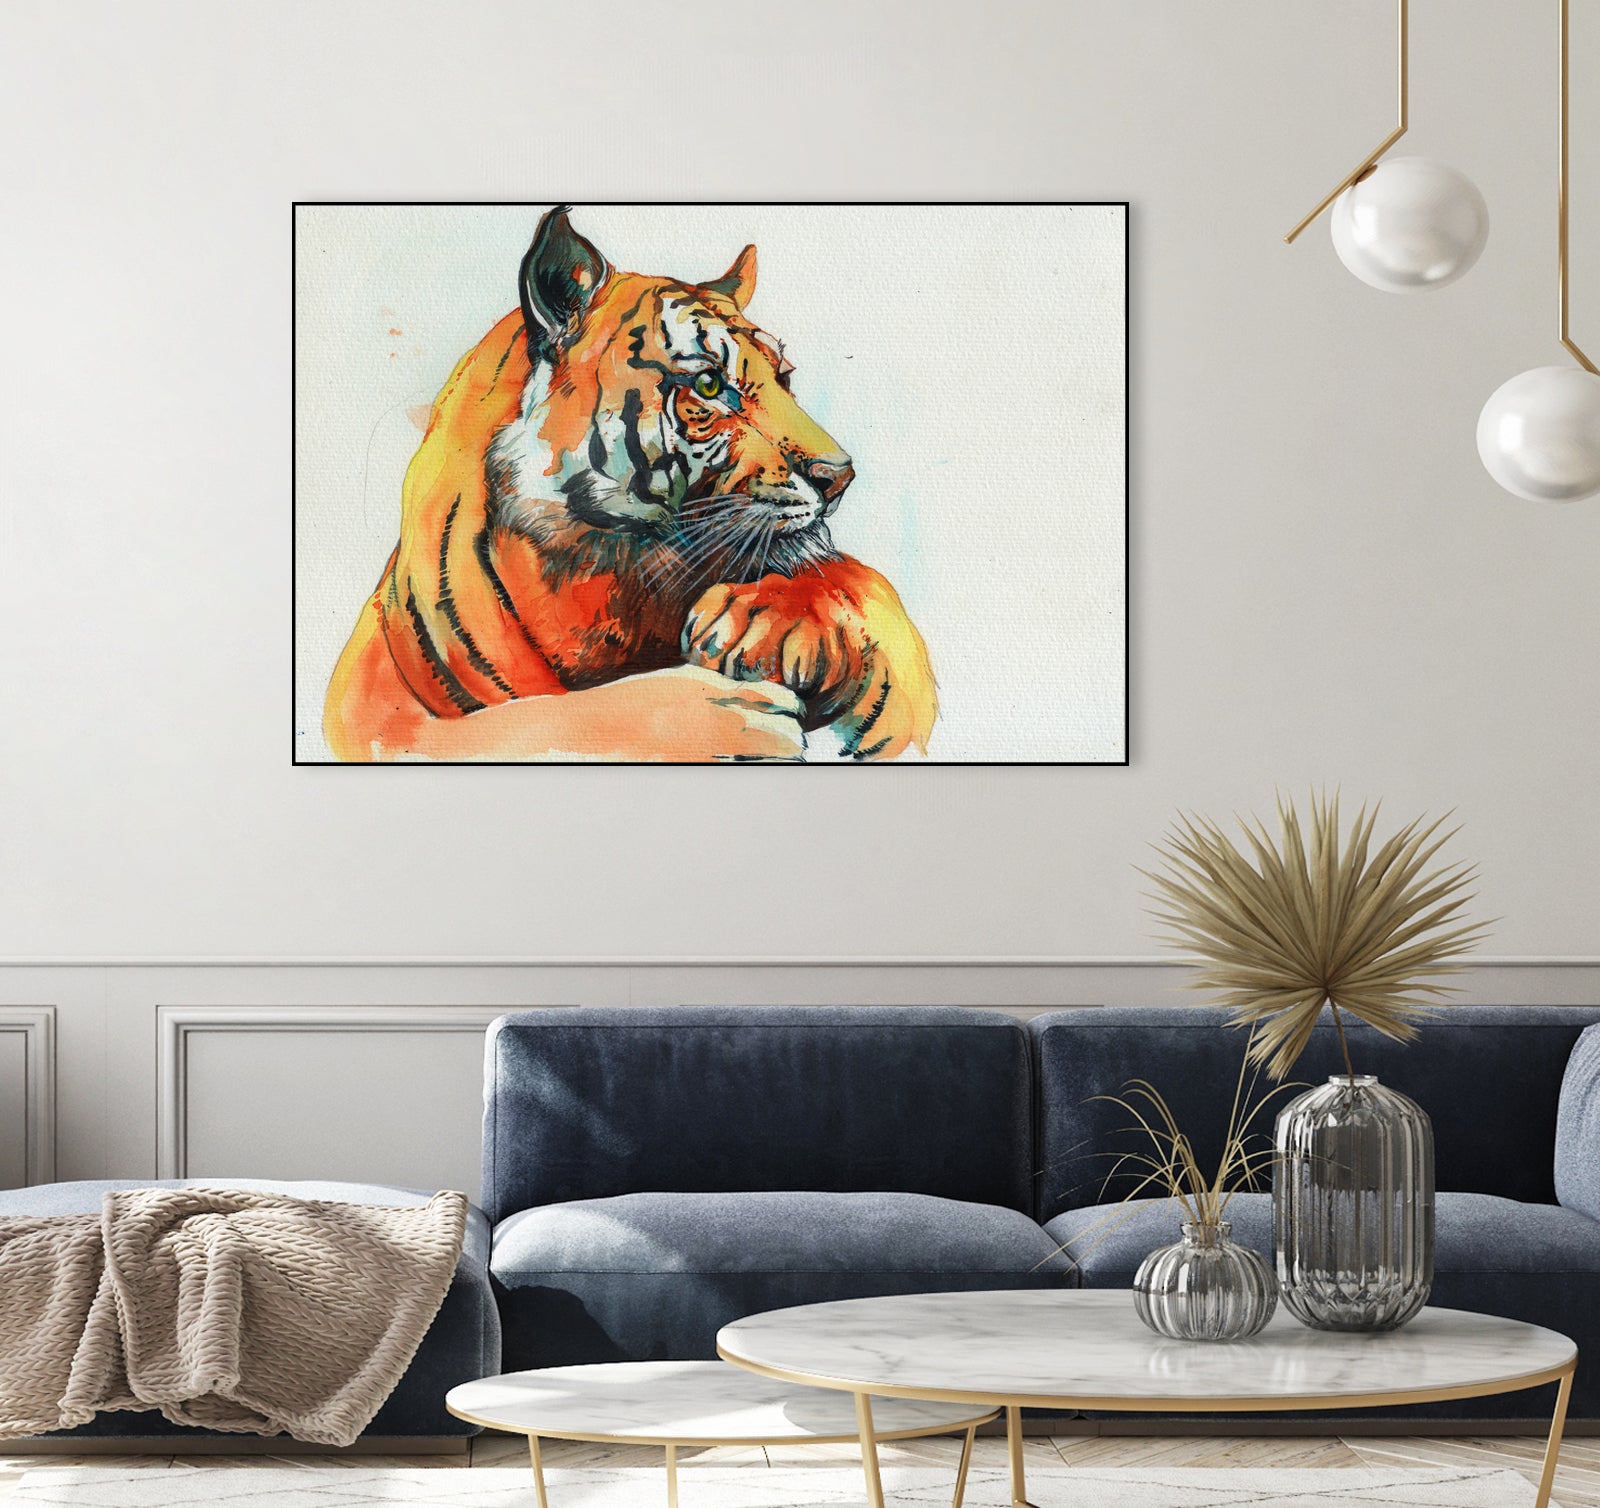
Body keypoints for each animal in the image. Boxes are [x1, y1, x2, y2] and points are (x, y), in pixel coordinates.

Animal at [322, 205, 938, 763]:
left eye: (784, 378)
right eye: (709, 385)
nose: (840, 475)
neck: (610, 582)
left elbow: (864, 590)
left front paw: (759, 622)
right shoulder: (372, 715)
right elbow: (540, 723)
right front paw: (727, 722)